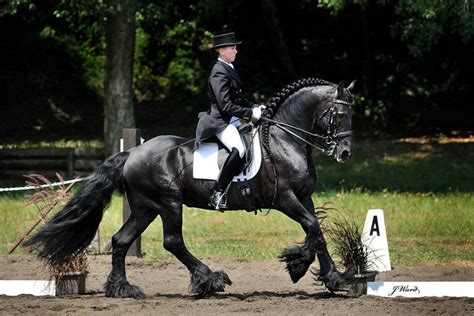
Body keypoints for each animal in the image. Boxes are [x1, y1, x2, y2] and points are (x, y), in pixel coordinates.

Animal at [23, 78, 356, 298]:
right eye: (339, 115)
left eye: (350, 115)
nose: (345, 154)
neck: (285, 140)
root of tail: (132, 153)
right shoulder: (285, 199)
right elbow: (312, 227)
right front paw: (301, 265)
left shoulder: (303, 197)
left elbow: (317, 232)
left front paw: (332, 276)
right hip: (168, 204)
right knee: (172, 242)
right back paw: (210, 280)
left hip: (145, 207)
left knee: (121, 240)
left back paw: (122, 288)